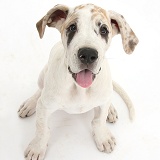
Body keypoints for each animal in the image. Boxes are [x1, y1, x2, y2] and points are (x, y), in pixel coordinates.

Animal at [17, 3, 139, 159]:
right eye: (72, 27)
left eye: (104, 30)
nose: (88, 54)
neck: (80, 89)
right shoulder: (45, 107)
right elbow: (42, 128)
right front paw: (37, 148)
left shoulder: (101, 103)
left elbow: (98, 121)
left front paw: (103, 137)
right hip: (42, 75)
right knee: (40, 90)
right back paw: (30, 103)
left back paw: (110, 110)